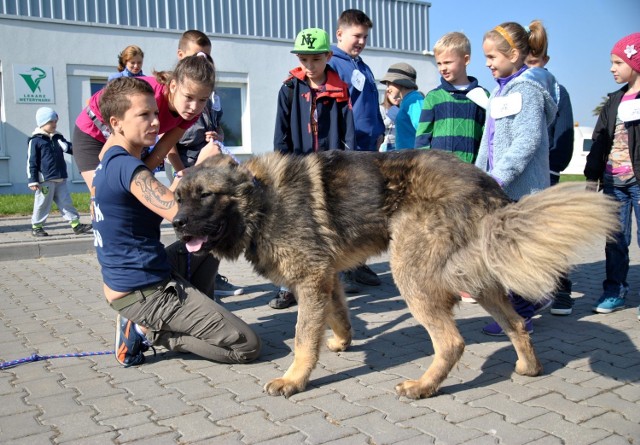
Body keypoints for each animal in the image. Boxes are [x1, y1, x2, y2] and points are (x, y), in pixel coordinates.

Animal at [172, 150, 616, 398]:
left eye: (204, 196)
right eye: (177, 197)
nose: (175, 224)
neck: (261, 199)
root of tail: (485, 185)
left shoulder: (310, 279)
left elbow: (301, 339)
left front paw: (294, 380)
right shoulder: (327, 276)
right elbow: (337, 315)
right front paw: (341, 342)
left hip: (411, 273)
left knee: (452, 342)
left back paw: (423, 387)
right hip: (475, 278)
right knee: (516, 324)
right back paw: (527, 367)